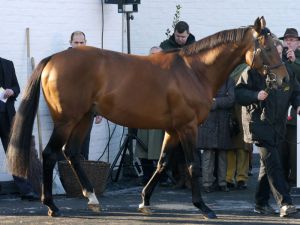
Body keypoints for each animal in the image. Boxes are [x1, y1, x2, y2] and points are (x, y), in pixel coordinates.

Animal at [7, 17, 288, 218]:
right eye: (268, 47)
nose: (284, 79)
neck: (194, 71)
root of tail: (54, 58)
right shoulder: (188, 128)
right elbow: (192, 166)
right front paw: (203, 207)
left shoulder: (172, 130)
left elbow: (162, 163)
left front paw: (144, 201)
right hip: (67, 120)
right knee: (50, 154)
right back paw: (51, 205)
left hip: (84, 117)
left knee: (72, 153)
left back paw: (93, 198)